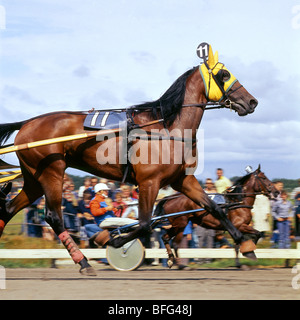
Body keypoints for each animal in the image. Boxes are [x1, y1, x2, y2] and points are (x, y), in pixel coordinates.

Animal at [0, 45, 258, 276]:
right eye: (224, 74)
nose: (252, 101)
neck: (166, 126)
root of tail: (26, 124)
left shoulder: (182, 180)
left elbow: (215, 208)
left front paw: (245, 242)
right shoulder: (149, 182)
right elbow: (144, 224)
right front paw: (114, 241)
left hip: (34, 177)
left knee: (9, 208)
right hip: (52, 172)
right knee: (54, 217)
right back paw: (83, 262)